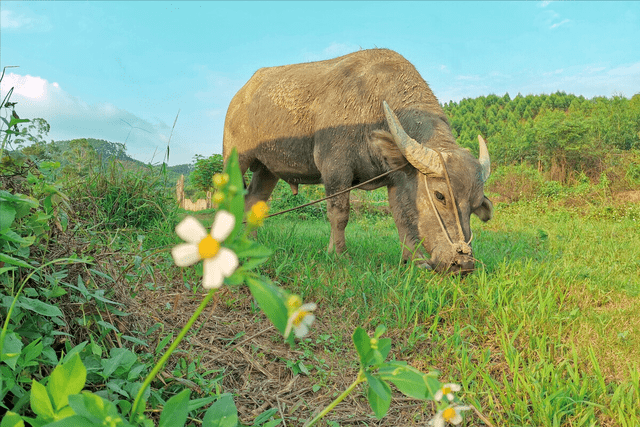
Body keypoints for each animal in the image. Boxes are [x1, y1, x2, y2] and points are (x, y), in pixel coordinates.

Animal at [222, 47, 492, 274]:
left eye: (475, 204)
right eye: (440, 196)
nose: (463, 263)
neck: (372, 110)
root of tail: (239, 97)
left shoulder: (396, 178)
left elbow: (402, 218)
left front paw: (413, 260)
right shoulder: (335, 169)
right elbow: (339, 214)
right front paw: (338, 253)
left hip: (267, 170)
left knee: (254, 201)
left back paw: (251, 242)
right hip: (235, 159)